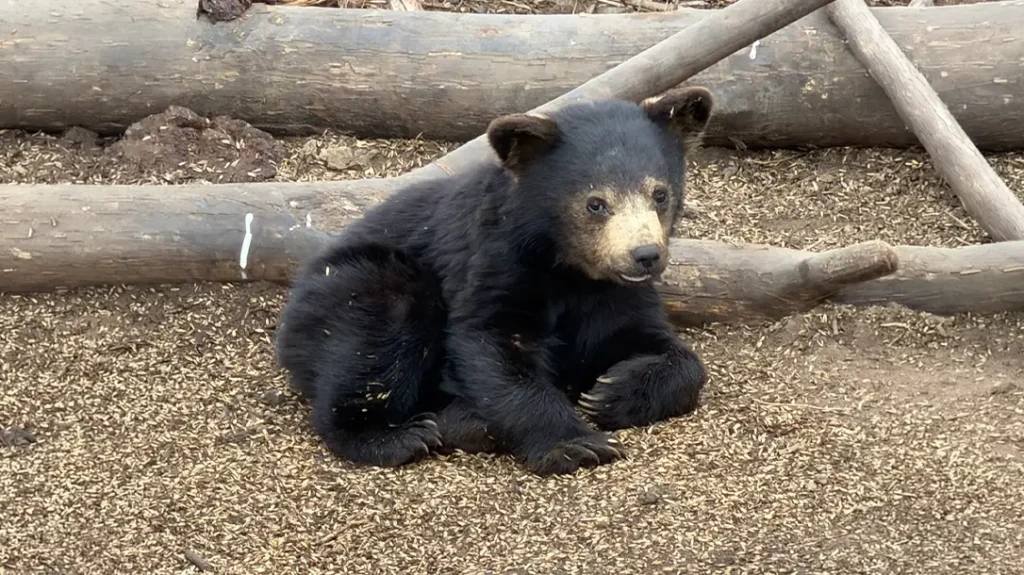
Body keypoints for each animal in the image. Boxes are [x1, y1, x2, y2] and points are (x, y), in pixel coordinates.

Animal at [274, 86, 713, 476]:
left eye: (659, 194)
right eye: (596, 203)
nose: (645, 255)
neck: (569, 269)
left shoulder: (618, 294)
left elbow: (665, 347)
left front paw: (610, 390)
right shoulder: (496, 264)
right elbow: (492, 343)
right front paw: (576, 444)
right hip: (354, 286)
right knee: (376, 336)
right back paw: (402, 435)